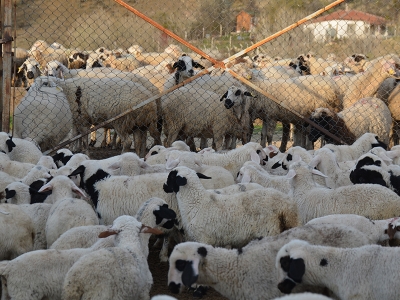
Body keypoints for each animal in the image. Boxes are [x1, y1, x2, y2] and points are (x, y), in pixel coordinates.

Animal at [163, 165, 300, 247]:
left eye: (171, 177)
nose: (164, 187)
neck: (196, 203)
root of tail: (287, 205)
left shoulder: (203, 239)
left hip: (269, 232)